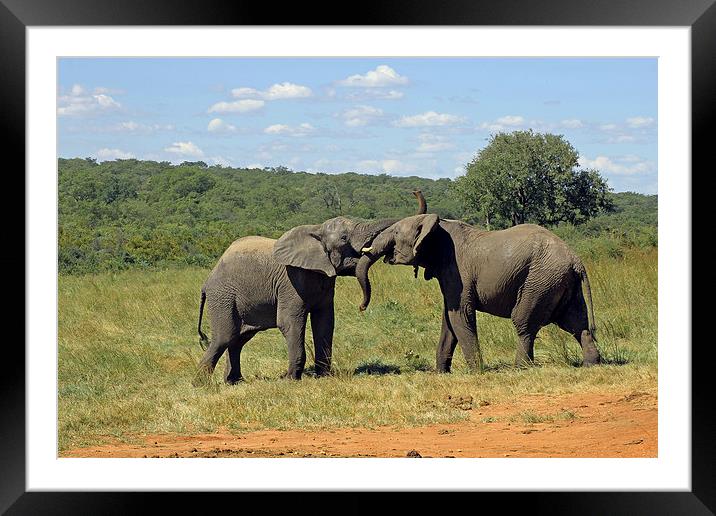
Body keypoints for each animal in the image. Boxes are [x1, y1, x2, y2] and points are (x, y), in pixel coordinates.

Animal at [193, 189, 426, 382]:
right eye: (344, 238)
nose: (414, 191)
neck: (316, 229)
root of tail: (206, 281)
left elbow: (325, 321)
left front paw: (323, 376)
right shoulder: (291, 281)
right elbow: (290, 322)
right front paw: (290, 379)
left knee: (238, 339)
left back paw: (234, 381)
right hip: (223, 297)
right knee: (224, 337)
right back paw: (201, 383)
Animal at [356, 213, 600, 370]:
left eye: (396, 232)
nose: (361, 307)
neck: (436, 226)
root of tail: (576, 260)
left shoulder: (456, 271)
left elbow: (460, 315)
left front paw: (476, 371)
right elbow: (449, 319)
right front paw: (442, 372)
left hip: (539, 281)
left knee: (524, 323)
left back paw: (520, 368)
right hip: (562, 283)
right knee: (576, 323)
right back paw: (591, 364)